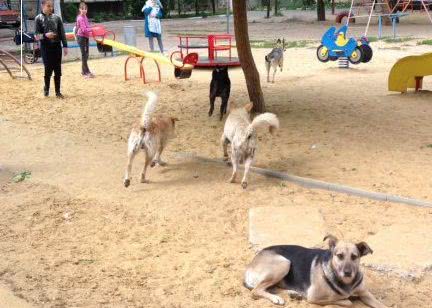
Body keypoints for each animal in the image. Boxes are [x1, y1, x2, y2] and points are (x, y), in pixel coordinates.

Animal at [243, 235, 388, 306]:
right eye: (339, 256)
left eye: (354, 257)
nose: (347, 273)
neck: (347, 283)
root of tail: (250, 265)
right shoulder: (313, 297)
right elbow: (346, 301)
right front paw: (346, 299)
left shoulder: (366, 294)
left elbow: (382, 305)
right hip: (284, 263)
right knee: (256, 290)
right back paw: (276, 298)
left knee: (269, 288)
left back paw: (292, 293)